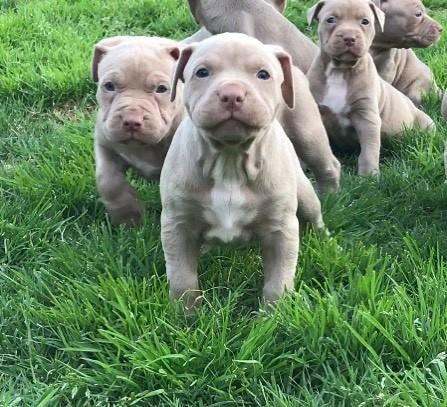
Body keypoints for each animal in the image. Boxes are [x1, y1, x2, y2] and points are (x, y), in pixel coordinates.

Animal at [93, 36, 184, 225]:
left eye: (162, 89)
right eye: (109, 86)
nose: (131, 121)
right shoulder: (105, 145)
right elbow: (107, 181)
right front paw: (129, 217)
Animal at [161, 34, 326, 310]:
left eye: (263, 74)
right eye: (202, 72)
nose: (231, 94)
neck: (230, 160)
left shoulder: (281, 230)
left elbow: (278, 281)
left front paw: (273, 315)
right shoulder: (177, 225)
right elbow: (182, 277)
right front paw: (186, 314)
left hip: (305, 194)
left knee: (315, 214)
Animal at [308, 0, 434, 176]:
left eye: (365, 21)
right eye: (331, 19)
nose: (349, 37)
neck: (340, 71)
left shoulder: (367, 118)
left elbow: (369, 151)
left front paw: (368, 176)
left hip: (426, 124)